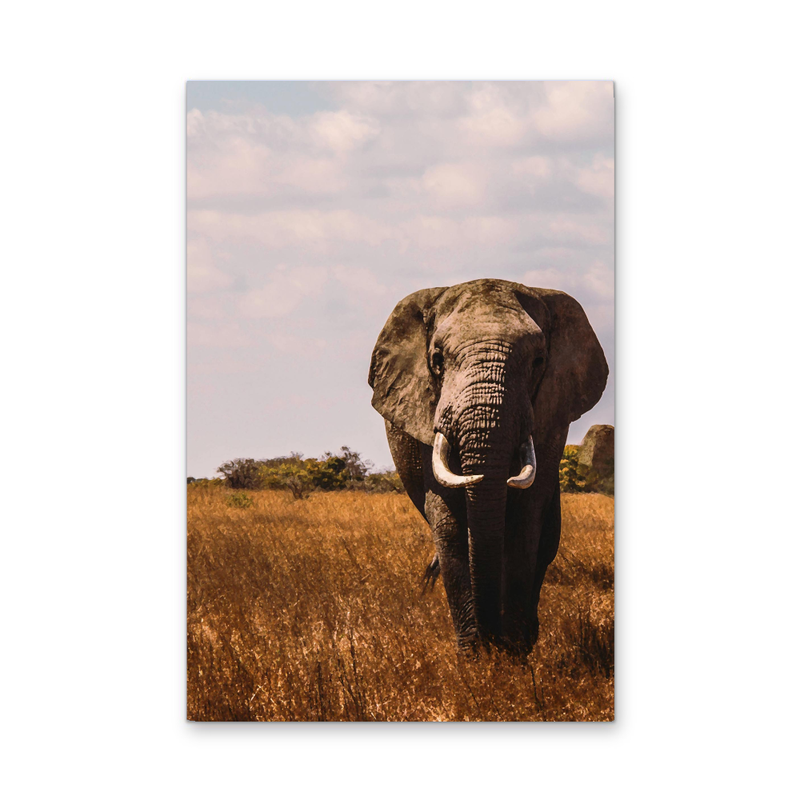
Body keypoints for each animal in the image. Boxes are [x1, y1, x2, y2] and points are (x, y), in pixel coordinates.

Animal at [368, 279, 608, 655]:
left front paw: (513, 653)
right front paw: (475, 657)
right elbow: (449, 521)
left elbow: (527, 519)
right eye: (437, 360)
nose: (490, 640)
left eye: (538, 361)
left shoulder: (551, 418)